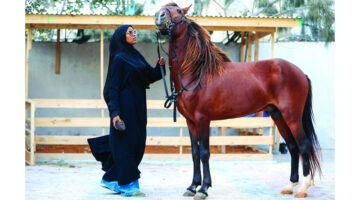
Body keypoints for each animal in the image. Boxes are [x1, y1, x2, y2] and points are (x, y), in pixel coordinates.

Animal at [153, 3, 322, 200]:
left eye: (179, 11)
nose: (159, 16)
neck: (196, 72)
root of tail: (300, 73)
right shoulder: (190, 122)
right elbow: (194, 153)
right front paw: (192, 186)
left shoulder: (203, 119)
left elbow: (204, 153)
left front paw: (203, 189)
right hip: (278, 116)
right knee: (293, 147)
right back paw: (290, 185)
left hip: (292, 117)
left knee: (304, 145)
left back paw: (303, 188)